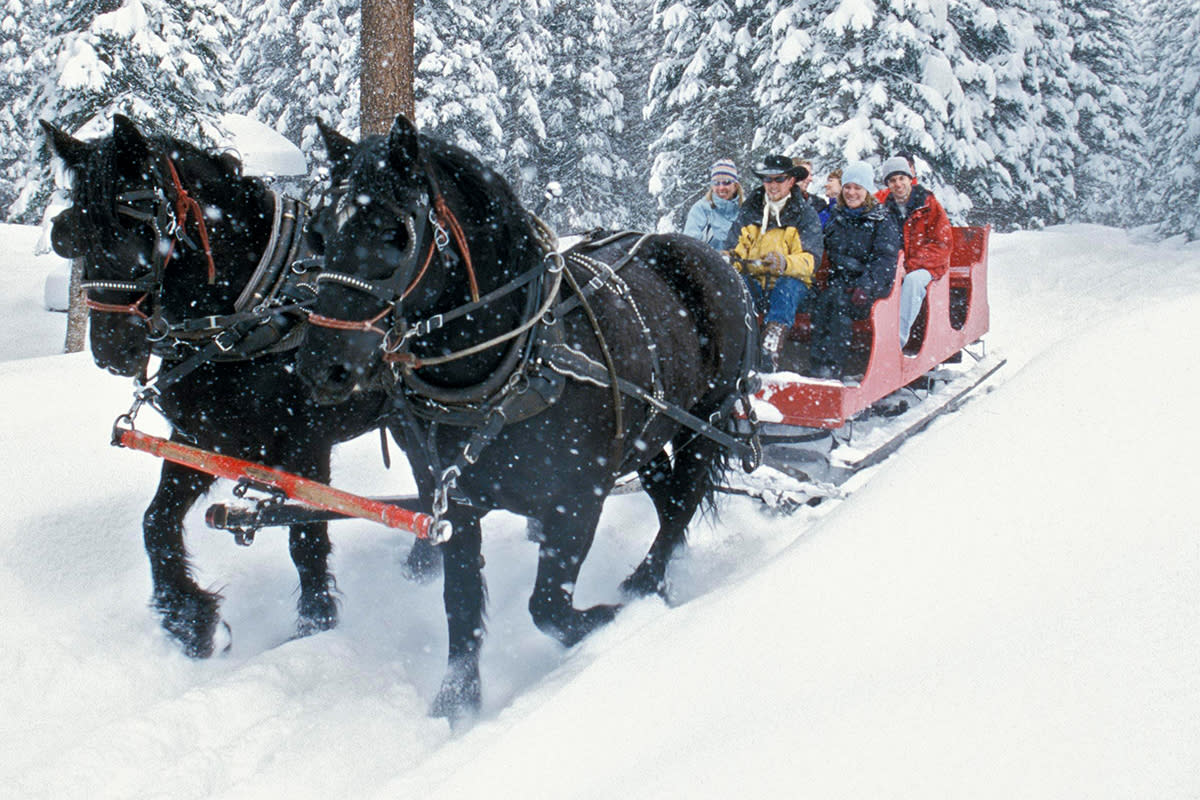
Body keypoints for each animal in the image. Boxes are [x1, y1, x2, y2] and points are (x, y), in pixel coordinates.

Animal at [43, 115, 412, 662]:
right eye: (71, 235)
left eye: (137, 230)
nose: (110, 351)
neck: (255, 311)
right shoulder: (201, 440)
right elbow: (156, 523)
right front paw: (191, 620)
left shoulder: (305, 448)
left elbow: (305, 538)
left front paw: (314, 630)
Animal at [295, 115, 753, 724]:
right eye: (319, 232)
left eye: (397, 233)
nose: (321, 367)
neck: (516, 363)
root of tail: (710, 257)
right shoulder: (455, 505)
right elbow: (461, 606)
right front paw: (458, 702)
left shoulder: (578, 500)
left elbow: (549, 607)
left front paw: (605, 619)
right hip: (648, 436)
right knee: (669, 497)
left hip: (704, 419)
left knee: (682, 504)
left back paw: (643, 586)